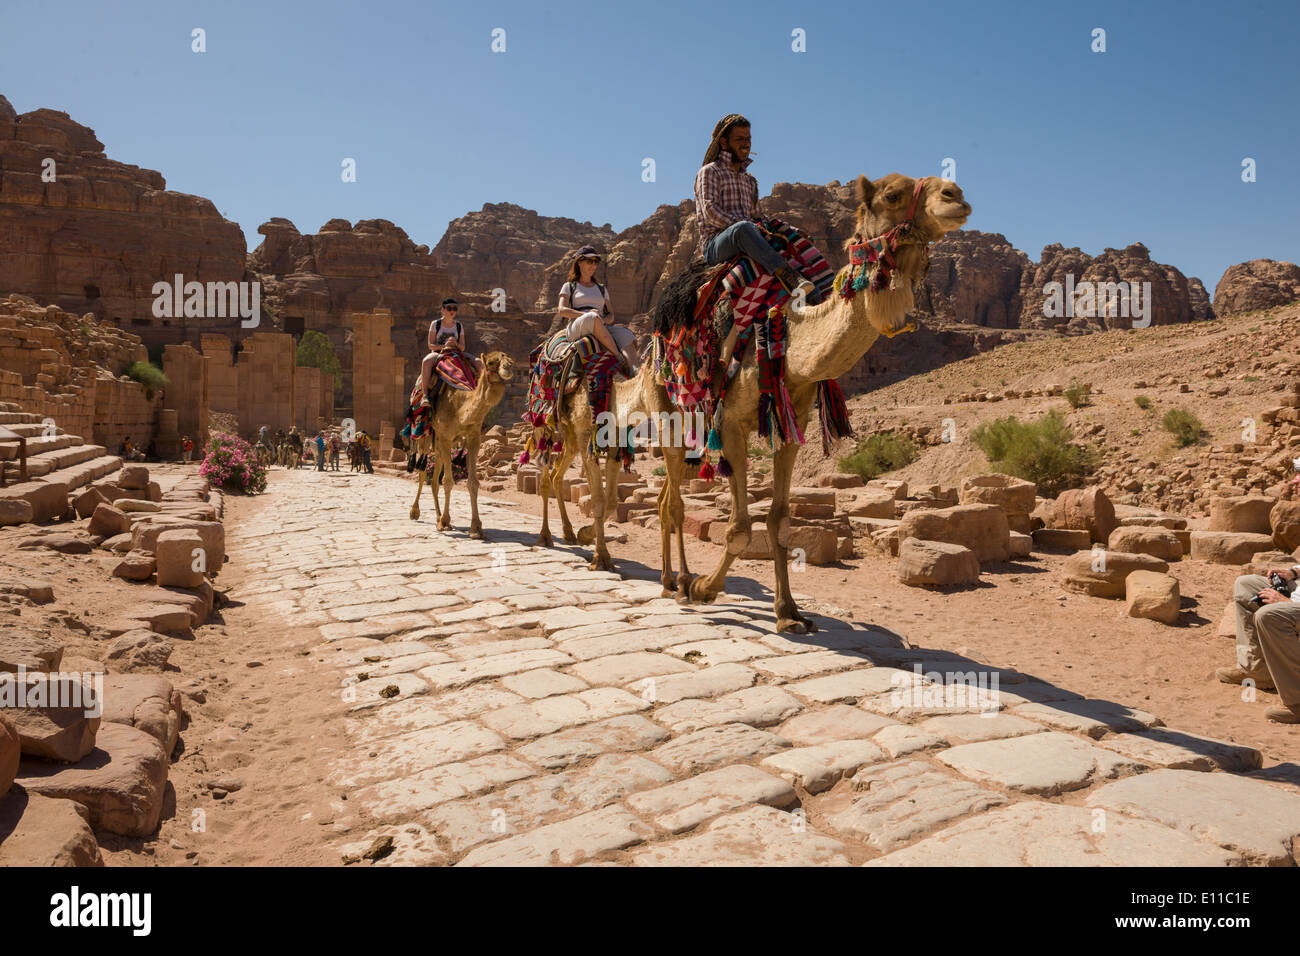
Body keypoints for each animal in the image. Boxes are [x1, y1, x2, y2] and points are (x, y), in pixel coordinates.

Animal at [408, 348, 514, 538]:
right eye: (491, 362)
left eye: (510, 360)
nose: (508, 367)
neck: (460, 408)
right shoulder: (445, 435)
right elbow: (448, 481)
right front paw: (445, 520)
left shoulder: (473, 437)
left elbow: (472, 483)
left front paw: (476, 528)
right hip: (425, 435)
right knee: (422, 472)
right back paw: (416, 512)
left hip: (439, 441)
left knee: (434, 479)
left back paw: (438, 518)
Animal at [530, 358, 655, 567]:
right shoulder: (587, 438)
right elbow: (598, 498)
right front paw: (601, 557)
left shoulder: (615, 445)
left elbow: (611, 501)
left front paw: (585, 535)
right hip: (544, 421)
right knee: (546, 478)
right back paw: (545, 536)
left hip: (571, 436)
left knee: (557, 474)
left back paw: (569, 533)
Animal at [655, 171, 972, 634]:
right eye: (892, 194)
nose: (956, 195)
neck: (788, 334)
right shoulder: (729, 423)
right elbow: (739, 527)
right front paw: (704, 589)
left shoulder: (793, 422)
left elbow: (780, 521)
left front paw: (788, 612)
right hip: (671, 410)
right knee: (674, 502)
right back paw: (676, 582)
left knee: (667, 496)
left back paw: (671, 579)